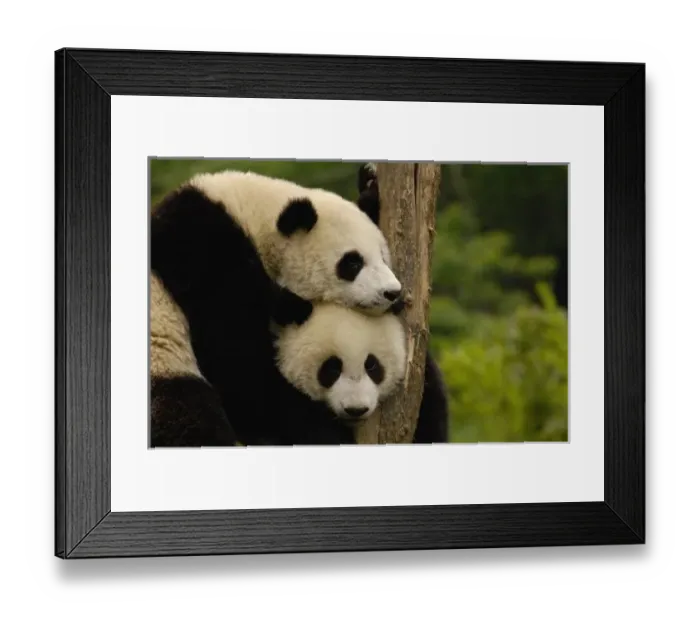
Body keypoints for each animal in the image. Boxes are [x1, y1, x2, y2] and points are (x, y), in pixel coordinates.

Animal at [150, 168, 403, 447]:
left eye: (383, 257)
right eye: (352, 263)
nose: (393, 292)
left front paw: (369, 186)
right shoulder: (203, 255)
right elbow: (240, 362)